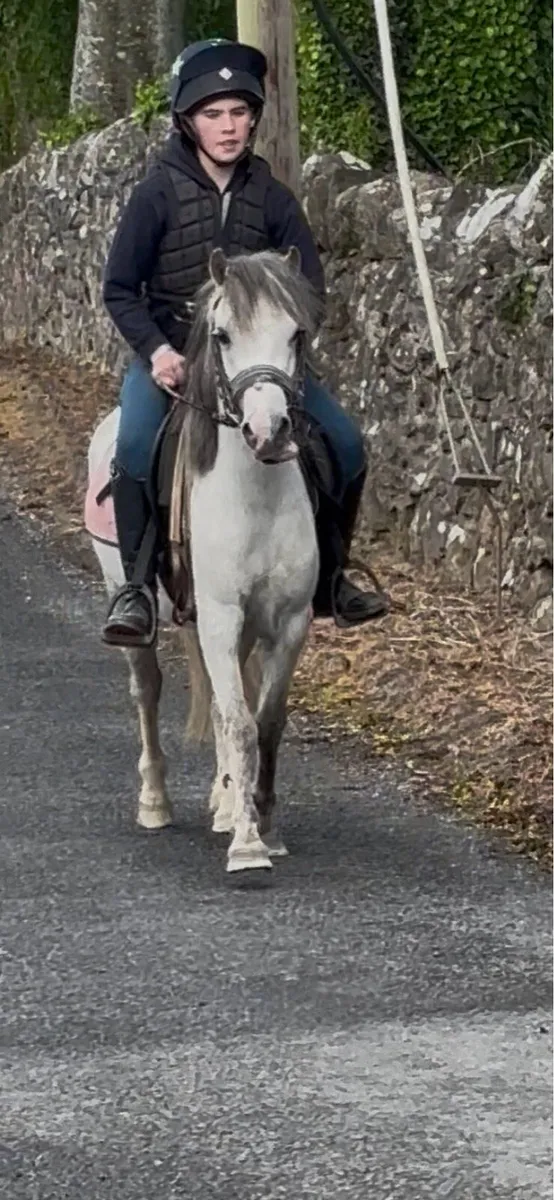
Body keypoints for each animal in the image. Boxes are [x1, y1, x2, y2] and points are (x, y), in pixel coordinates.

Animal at [86, 247, 322, 882]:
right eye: (222, 335)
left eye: (296, 332)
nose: (268, 432)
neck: (255, 495)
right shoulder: (219, 615)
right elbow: (240, 721)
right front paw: (247, 845)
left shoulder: (288, 623)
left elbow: (264, 721)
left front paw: (260, 819)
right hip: (136, 604)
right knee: (148, 690)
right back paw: (156, 802)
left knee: (221, 699)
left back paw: (223, 799)